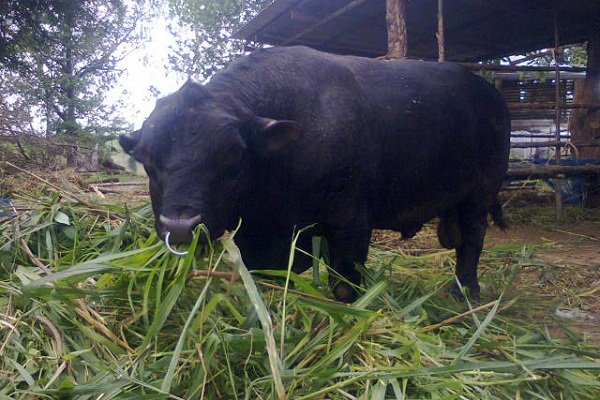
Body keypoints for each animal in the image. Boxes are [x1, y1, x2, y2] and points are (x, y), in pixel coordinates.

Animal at [119, 46, 510, 302]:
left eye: (232, 156)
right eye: (147, 159)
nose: (180, 226)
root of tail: (488, 92)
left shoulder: (350, 225)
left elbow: (344, 285)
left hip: (479, 195)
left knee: (472, 241)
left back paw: (466, 291)